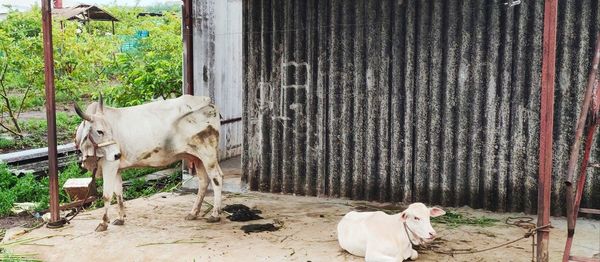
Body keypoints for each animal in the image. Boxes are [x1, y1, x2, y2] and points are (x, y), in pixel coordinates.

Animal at [74, 94, 225, 231]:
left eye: (111, 130)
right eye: (99, 131)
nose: (117, 154)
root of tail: (207, 101)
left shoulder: (109, 165)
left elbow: (107, 195)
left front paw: (103, 223)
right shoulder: (116, 167)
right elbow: (119, 193)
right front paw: (120, 218)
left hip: (208, 154)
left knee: (216, 178)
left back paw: (214, 214)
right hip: (196, 157)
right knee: (204, 180)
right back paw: (193, 213)